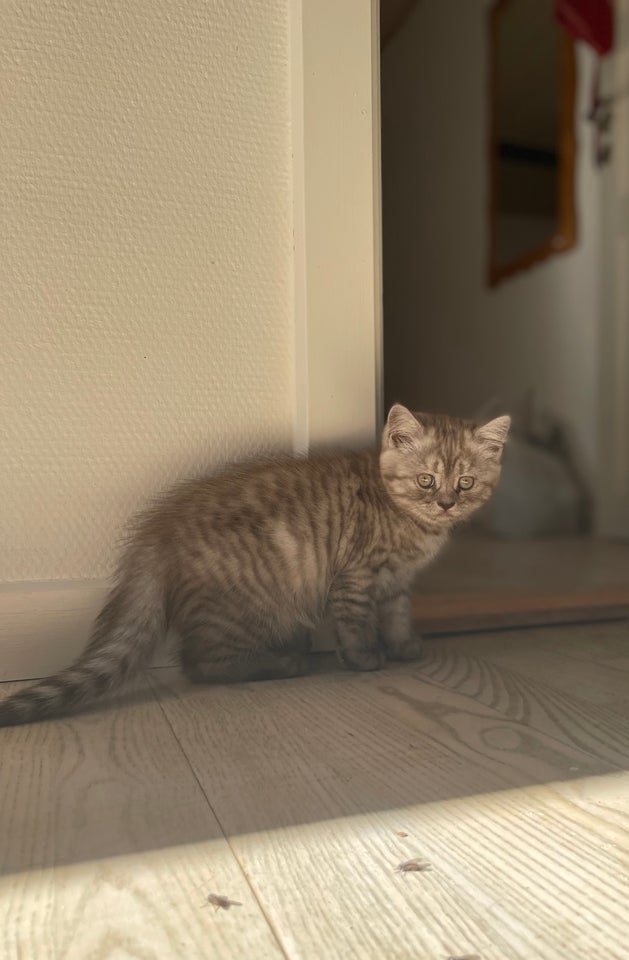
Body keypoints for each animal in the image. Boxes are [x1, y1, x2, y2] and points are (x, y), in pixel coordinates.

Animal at [0, 404, 510, 728]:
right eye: (426, 480)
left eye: (465, 483)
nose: (446, 504)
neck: (410, 524)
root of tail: (156, 533)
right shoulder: (356, 577)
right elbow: (357, 625)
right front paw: (365, 659)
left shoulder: (396, 583)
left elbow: (399, 615)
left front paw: (404, 647)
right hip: (248, 610)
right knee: (200, 664)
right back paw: (285, 661)